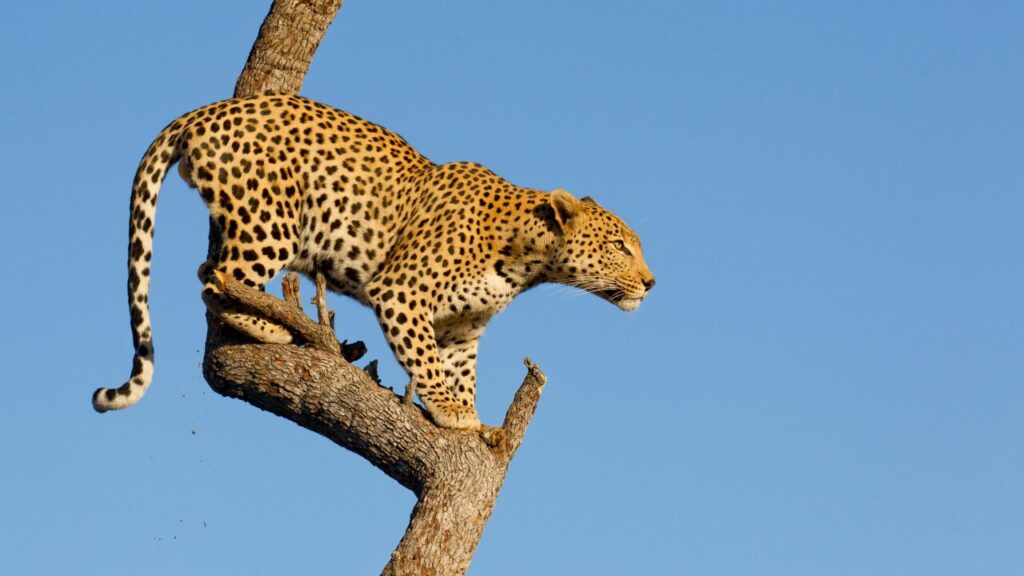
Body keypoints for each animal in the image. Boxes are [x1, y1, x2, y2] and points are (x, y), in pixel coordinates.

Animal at [92, 93, 655, 429]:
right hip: (271, 223)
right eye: (619, 246)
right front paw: (451, 411)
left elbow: (459, 370)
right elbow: (425, 361)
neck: (527, 262)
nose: (651, 283)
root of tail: (204, 111)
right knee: (215, 280)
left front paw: (471, 416)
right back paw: (274, 326)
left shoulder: (463, 329)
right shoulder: (402, 293)